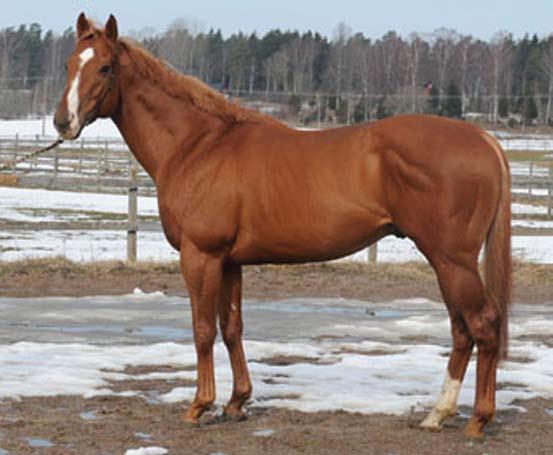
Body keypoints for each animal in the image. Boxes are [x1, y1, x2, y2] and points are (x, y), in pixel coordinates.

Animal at [54, 14, 512, 440]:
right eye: (70, 63)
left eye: (106, 67)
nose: (62, 122)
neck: (198, 145)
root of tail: (483, 139)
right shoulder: (230, 262)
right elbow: (232, 327)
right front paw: (237, 402)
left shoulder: (201, 256)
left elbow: (202, 330)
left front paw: (199, 405)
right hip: (447, 262)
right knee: (462, 330)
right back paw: (438, 414)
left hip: (451, 260)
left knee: (483, 323)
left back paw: (477, 419)